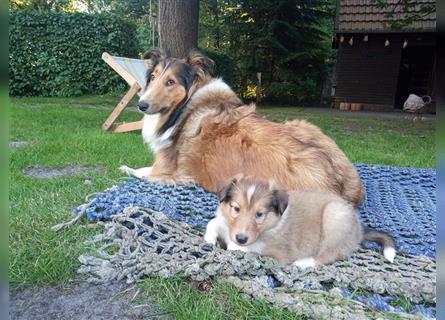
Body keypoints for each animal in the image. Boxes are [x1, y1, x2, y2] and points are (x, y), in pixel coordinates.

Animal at [119, 48, 364, 208]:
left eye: (170, 82)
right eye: (153, 77)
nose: (142, 105)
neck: (187, 104)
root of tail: (341, 185)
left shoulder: (168, 172)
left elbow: (141, 171)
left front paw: (125, 168)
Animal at [205, 175, 396, 268]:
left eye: (260, 214)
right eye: (236, 208)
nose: (241, 238)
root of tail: (359, 228)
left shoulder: (276, 250)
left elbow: (247, 248)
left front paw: (234, 245)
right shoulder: (225, 223)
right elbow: (212, 223)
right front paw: (210, 239)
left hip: (333, 217)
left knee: (328, 255)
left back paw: (303, 263)